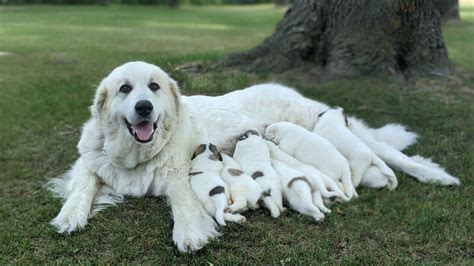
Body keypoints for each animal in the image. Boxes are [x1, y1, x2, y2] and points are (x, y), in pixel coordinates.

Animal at [48, 60, 460, 254]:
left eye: (153, 87)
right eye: (124, 89)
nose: (145, 107)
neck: (136, 152)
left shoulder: (180, 172)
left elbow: (182, 203)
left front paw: (189, 235)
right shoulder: (90, 161)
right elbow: (84, 184)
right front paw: (69, 216)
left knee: (390, 153)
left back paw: (438, 176)